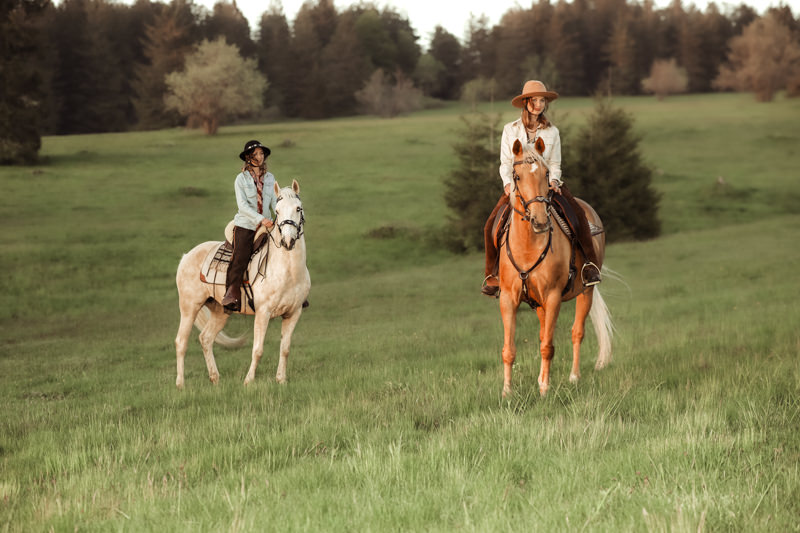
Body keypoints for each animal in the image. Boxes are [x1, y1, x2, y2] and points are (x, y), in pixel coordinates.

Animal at [174, 179, 310, 386]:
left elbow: (285, 349)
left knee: (206, 338)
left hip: (220, 310)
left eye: (298, 208)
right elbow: (258, 350)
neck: (289, 272)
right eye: (277, 211)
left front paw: (281, 380)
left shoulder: (293, 313)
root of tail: (186, 256)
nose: (288, 241)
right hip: (189, 307)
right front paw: (248, 381)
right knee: (181, 341)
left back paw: (215, 378)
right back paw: (180, 384)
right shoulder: (263, 313)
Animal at [500, 137, 612, 394]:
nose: (540, 221)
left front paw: (544, 389)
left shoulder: (552, 297)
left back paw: (574, 377)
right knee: (545, 332)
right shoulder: (508, 299)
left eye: (546, 173)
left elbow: (548, 346)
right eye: (517, 176)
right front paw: (507, 391)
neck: (528, 246)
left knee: (577, 332)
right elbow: (509, 349)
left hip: (586, 291)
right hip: (539, 304)